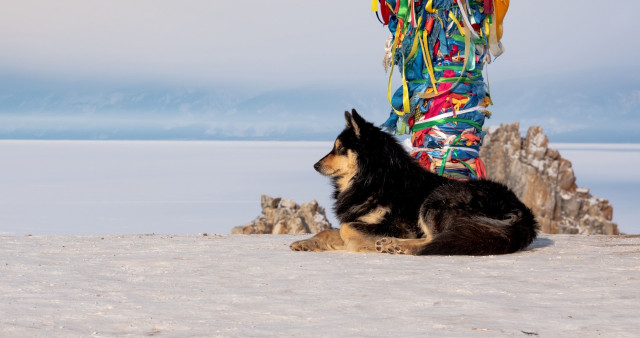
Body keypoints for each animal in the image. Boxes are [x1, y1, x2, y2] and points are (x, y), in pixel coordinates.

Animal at [292, 109, 536, 255]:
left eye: (340, 148)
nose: (315, 165)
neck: (373, 178)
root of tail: (523, 212)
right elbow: (329, 231)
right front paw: (306, 243)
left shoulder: (398, 226)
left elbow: (345, 229)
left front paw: (360, 245)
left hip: (437, 200)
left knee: (435, 241)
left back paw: (396, 246)